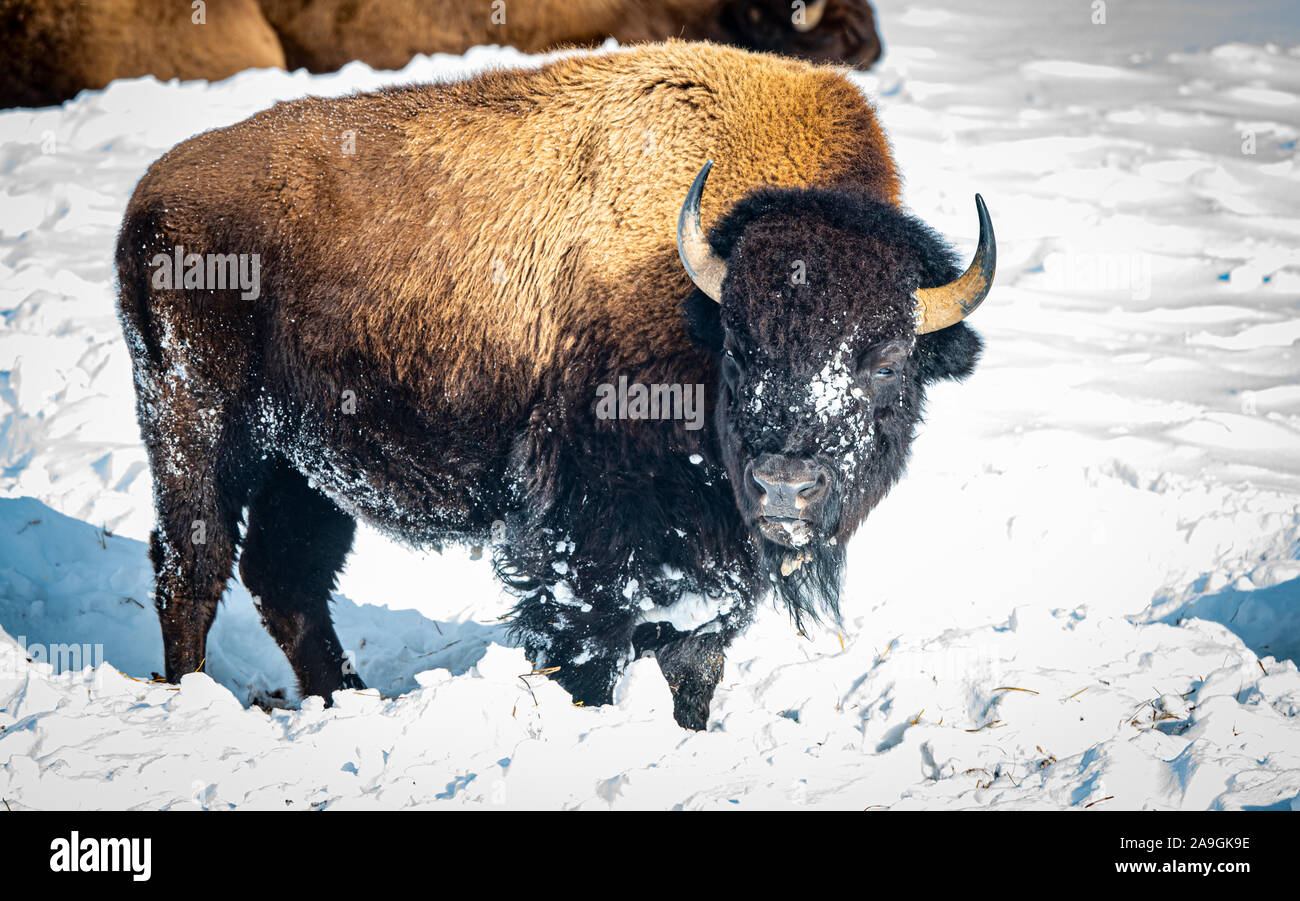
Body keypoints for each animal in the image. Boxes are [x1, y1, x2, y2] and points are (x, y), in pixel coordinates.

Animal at [116, 41, 993, 730]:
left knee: (286, 578)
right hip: (197, 425)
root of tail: (153, 192)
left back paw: (348, 699)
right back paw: (190, 700)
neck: (691, 298)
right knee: (192, 565)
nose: (785, 486)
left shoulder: (711, 559)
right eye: (741, 346)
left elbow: (695, 661)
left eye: (887, 359)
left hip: (306, 464)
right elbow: (590, 647)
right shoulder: (587, 535)